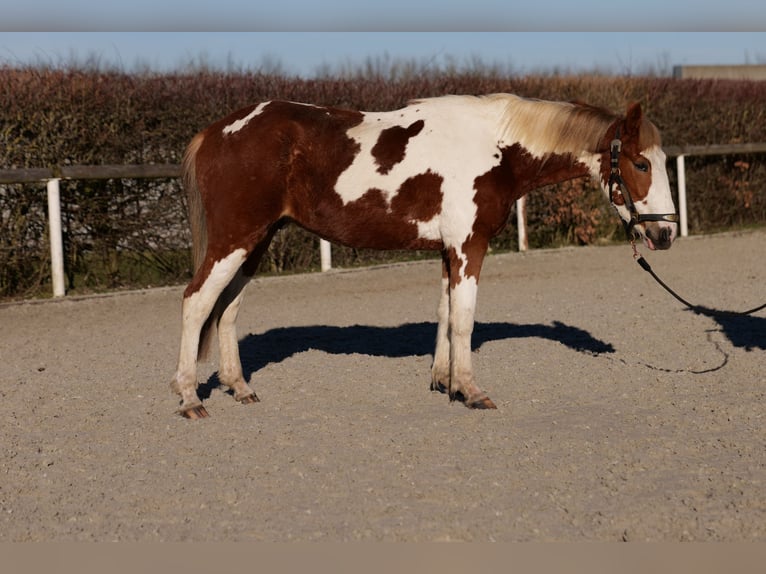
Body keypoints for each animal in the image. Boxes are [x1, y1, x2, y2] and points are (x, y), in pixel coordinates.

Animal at [170, 93, 680, 418]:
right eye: (640, 163)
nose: (665, 234)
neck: (497, 148)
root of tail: (216, 132)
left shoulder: (448, 249)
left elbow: (445, 314)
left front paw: (444, 382)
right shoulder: (470, 245)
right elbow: (464, 319)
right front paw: (472, 391)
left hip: (256, 240)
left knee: (228, 308)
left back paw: (239, 388)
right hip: (234, 239)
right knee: (197, 302)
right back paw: (190, 398)